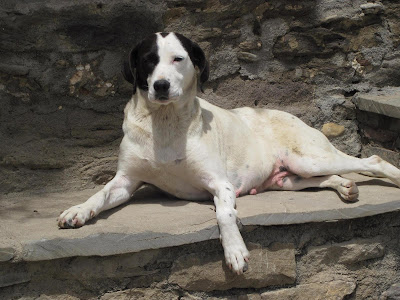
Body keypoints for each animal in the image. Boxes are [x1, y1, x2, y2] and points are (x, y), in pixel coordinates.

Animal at [58, 32, 400, 274]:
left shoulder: (220, 184)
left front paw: (235, 251)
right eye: (148, 60)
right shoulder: (126, 182)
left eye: (178, 59)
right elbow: (99, 195)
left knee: (372, 160)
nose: (161, 86)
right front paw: (77, 211)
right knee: (329, 177)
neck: (165, 125)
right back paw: (345, 186)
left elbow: (224, 214)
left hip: (307, 159)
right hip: (289, 178)